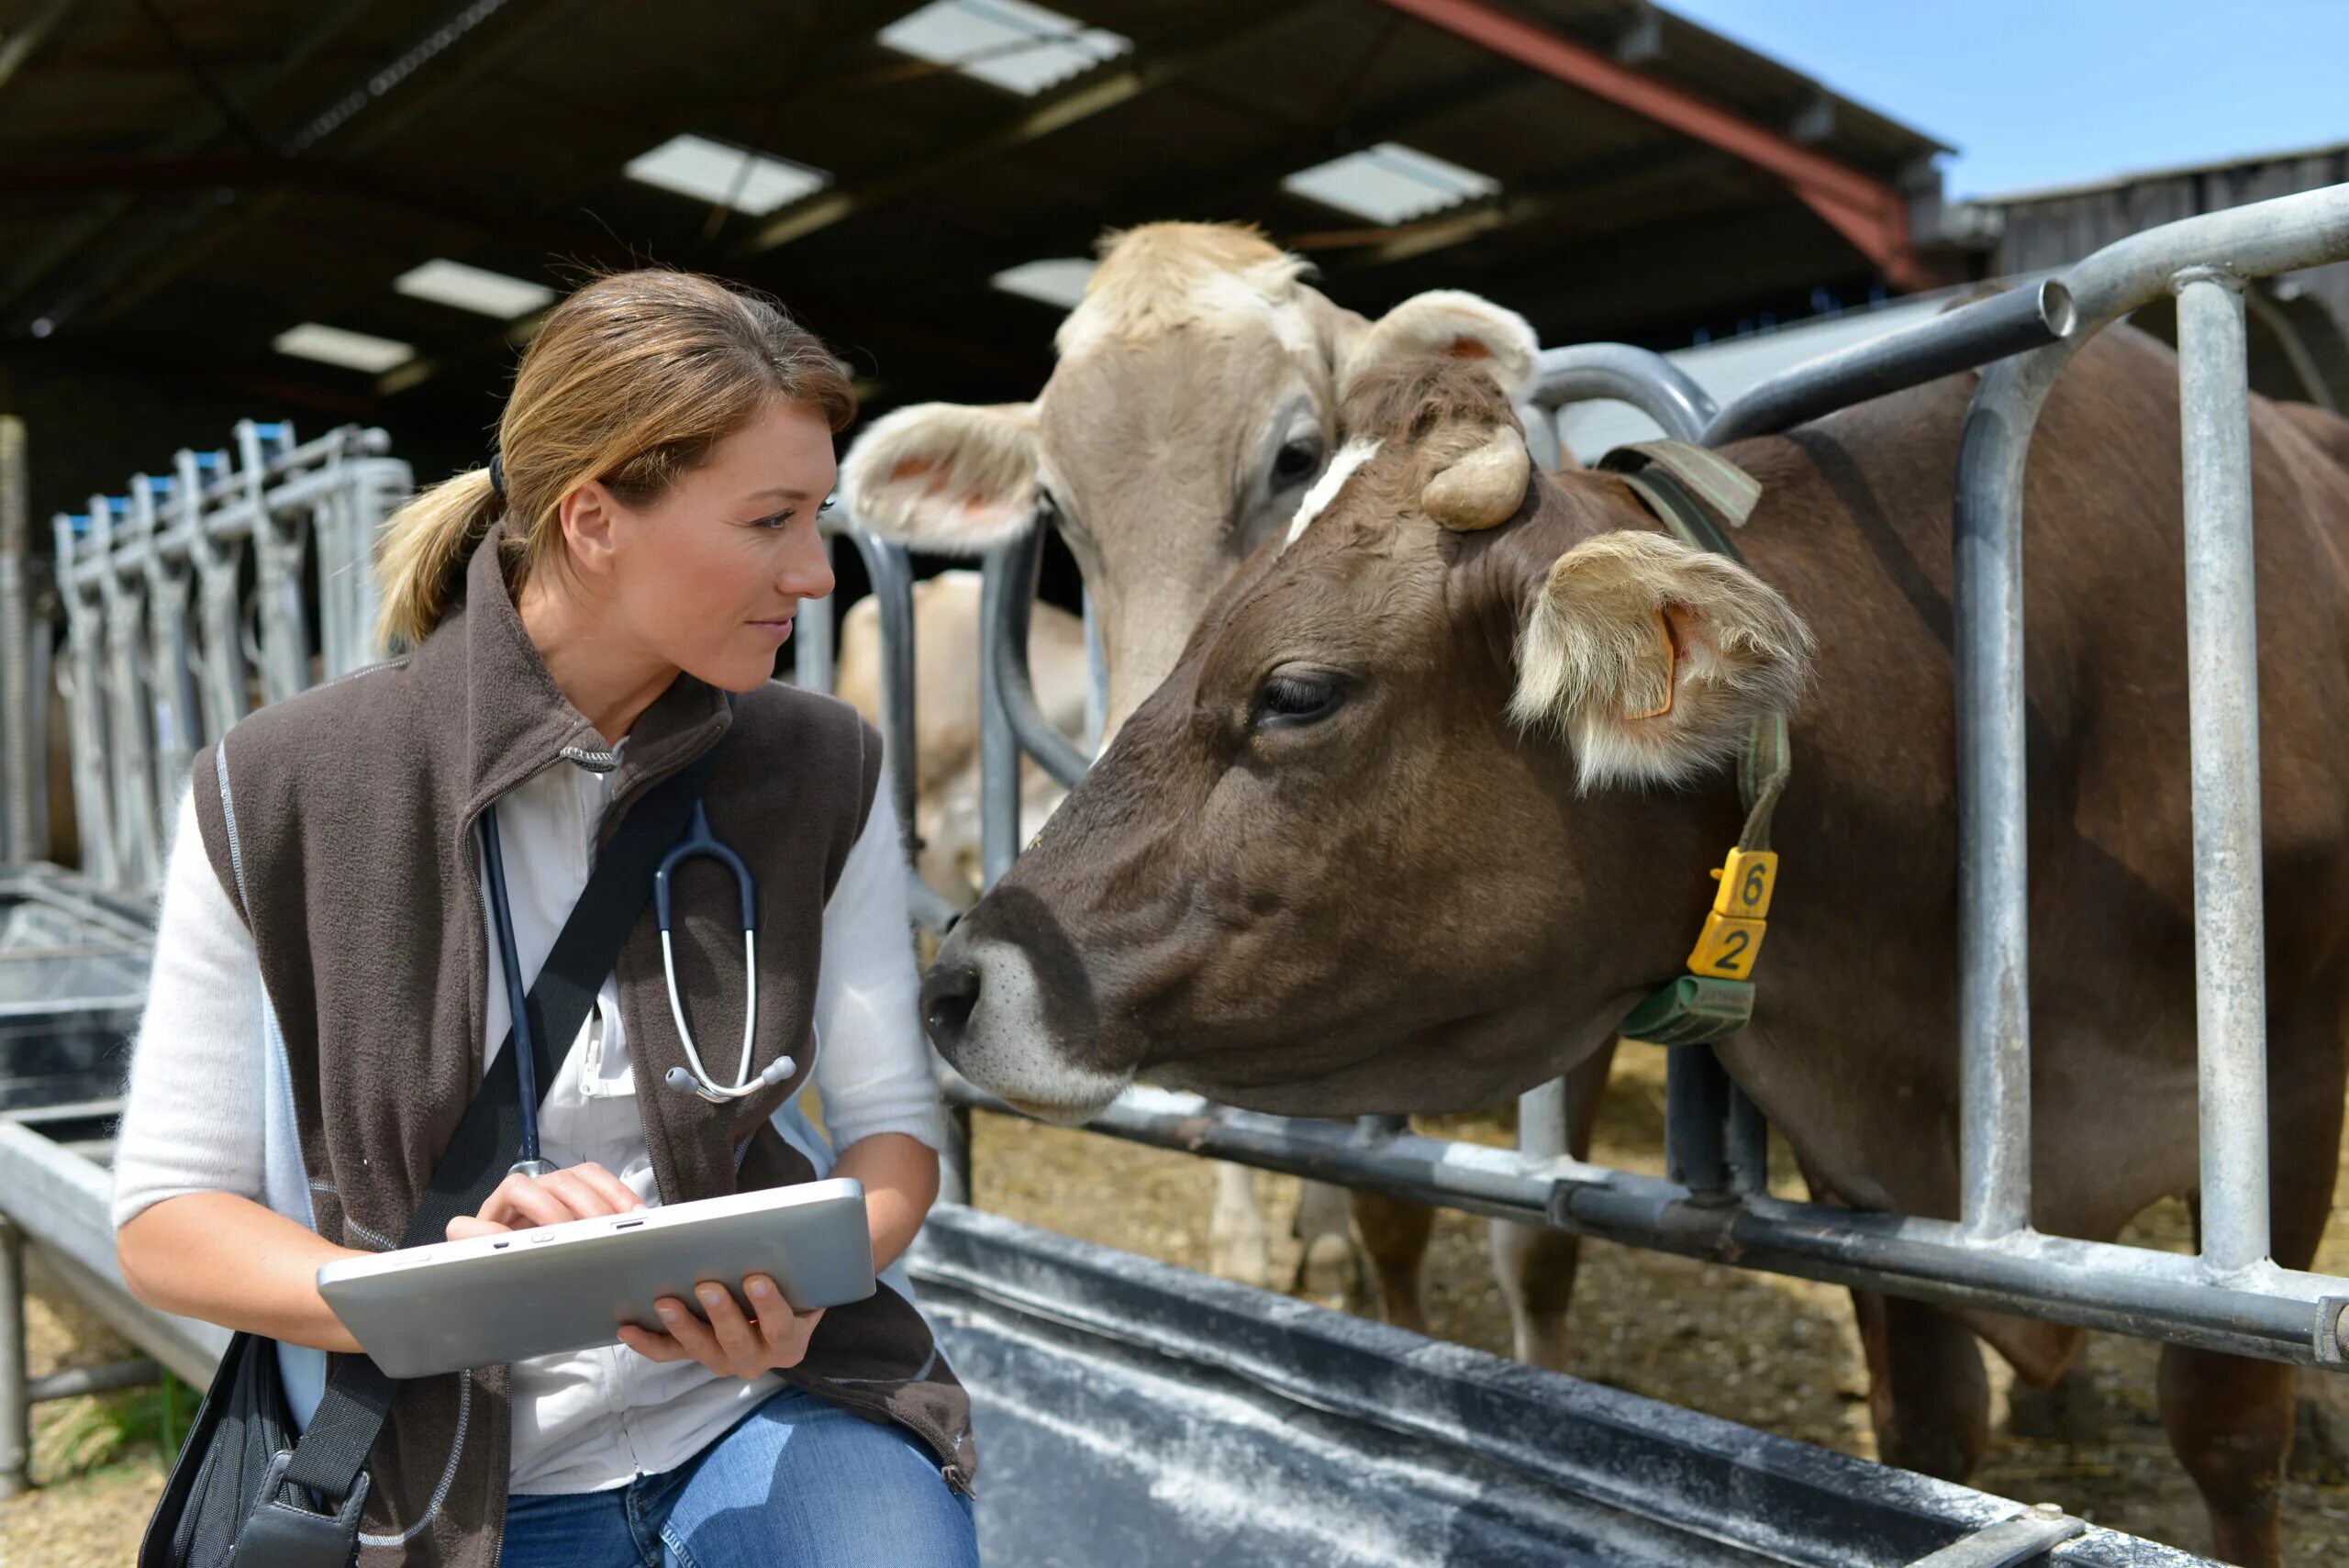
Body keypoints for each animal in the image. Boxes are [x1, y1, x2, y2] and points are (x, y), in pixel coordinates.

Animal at [916, 333, 2349, 1568]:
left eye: (1295, 692)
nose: (954, 980)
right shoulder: (1870, 1160)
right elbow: (1934, 1424)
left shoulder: (2280, 1092)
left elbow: (2228, 1425)